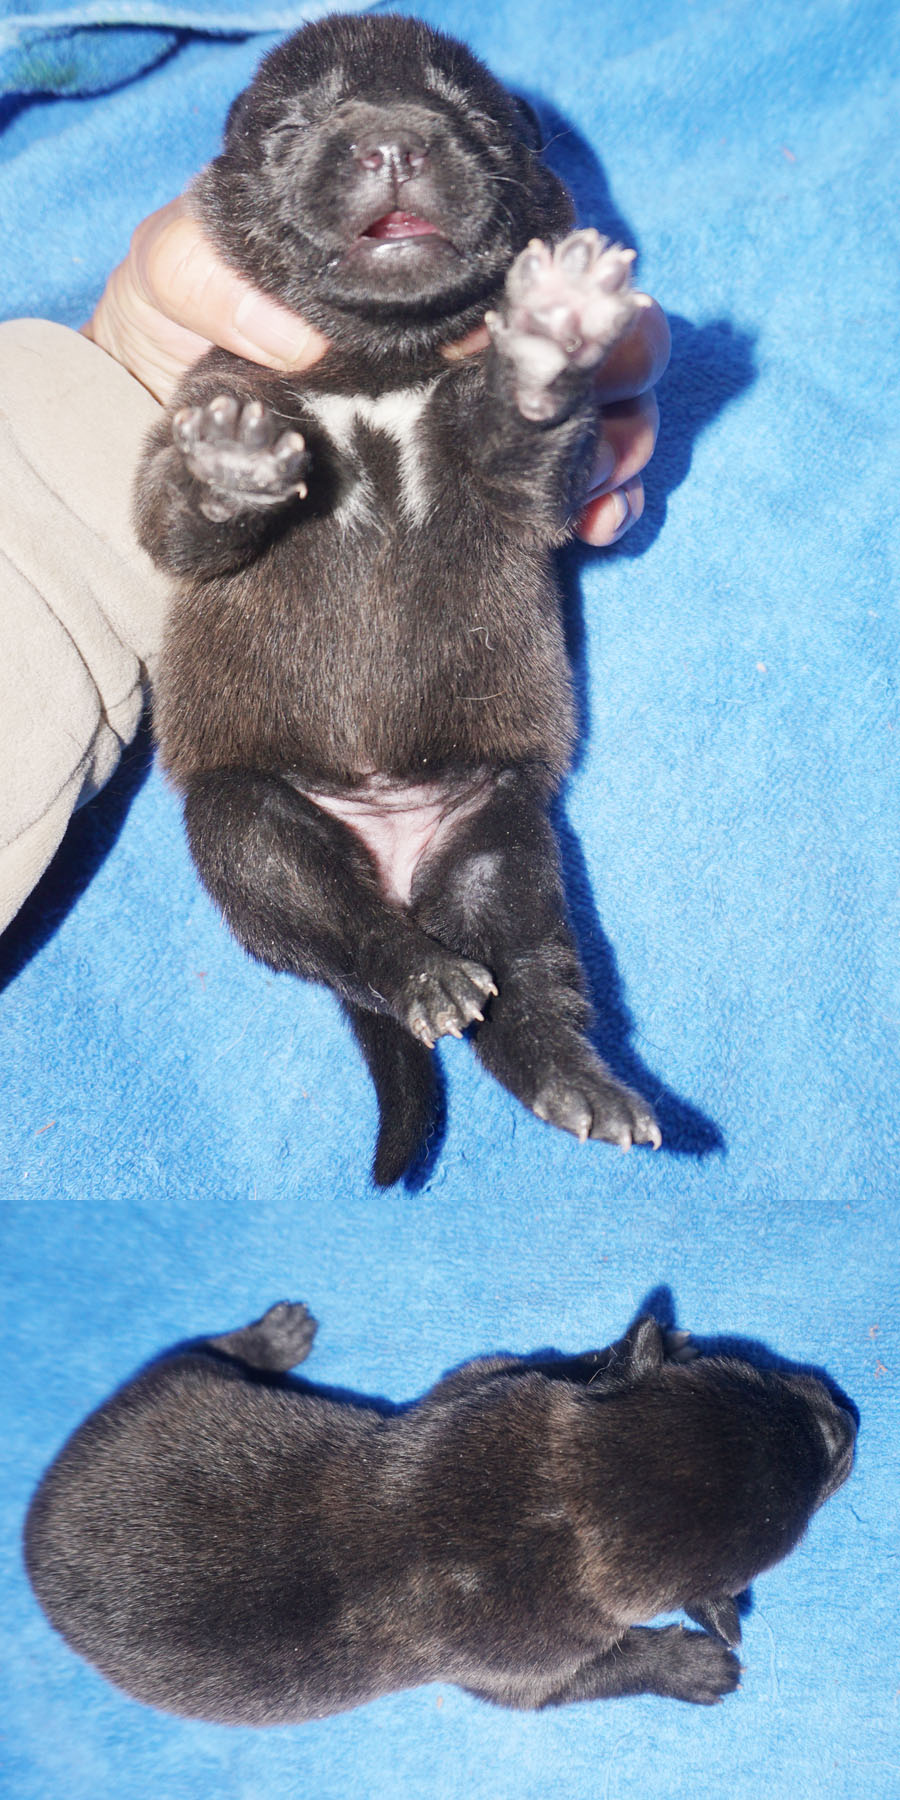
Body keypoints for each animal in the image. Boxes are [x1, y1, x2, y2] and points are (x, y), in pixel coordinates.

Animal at [24, 1301, 855, 1722]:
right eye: (813, 1496)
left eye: (759, 1375)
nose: (848, 1419)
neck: (556, 1503)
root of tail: (33, 1523)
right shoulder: (529, 1666)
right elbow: (599, 1673)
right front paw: (691, 1663)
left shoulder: (483, 1386)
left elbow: (538, 1367)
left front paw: (638, 1348)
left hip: (166, 1393)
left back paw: (275, 1335)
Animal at [134, 14, 666, 1185]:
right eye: (292, 125)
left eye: (467, 113)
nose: (391, 141)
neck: (377, 372)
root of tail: (390, 851)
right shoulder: (204, 392)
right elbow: (171, 516)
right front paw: (227, 469)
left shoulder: (517, 479)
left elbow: (527, 444)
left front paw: (555, 331)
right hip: (248, 822)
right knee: (338, 933)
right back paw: (419, 975)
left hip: (500, 837)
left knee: (530, 983)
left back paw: (578, 1081)